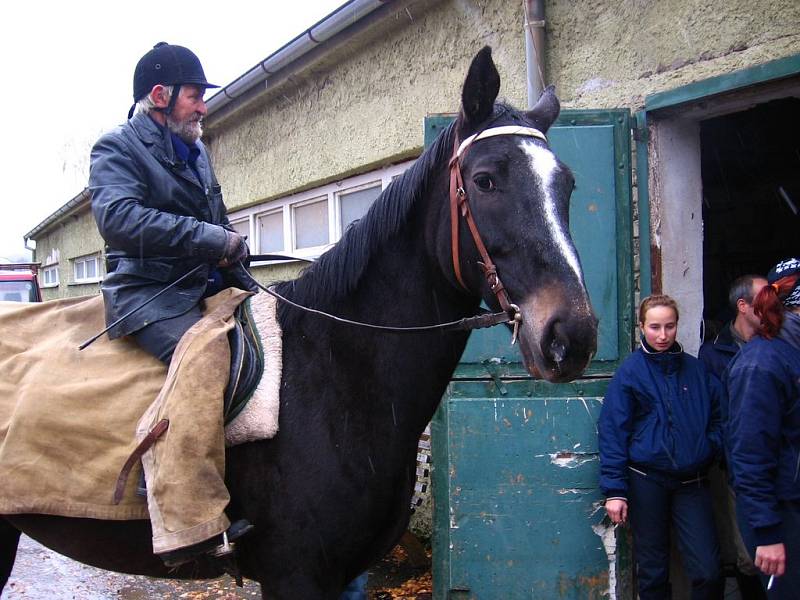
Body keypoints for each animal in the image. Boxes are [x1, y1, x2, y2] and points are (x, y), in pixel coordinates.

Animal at [0, 48, 592, 600]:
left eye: (567, 184)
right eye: (486, 180)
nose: (571, 336)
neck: (333, 372)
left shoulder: (346, 575)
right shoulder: (295, 575)